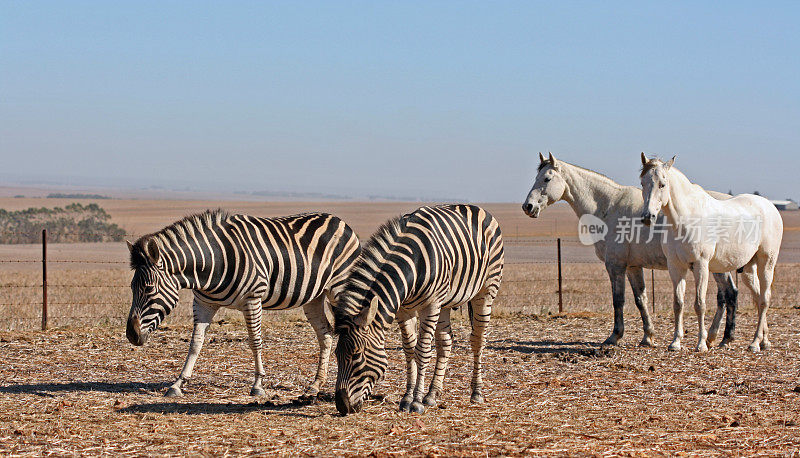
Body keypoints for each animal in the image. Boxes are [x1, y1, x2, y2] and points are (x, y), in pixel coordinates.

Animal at [125, 210, 360, 398]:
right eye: (131, 288)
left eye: (149, 289)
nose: (131, 335)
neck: (213, 262)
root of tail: (339, 220)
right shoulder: (203, 302)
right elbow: (195, 344)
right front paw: (177, 384)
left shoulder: (252, 299)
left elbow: (255, 341)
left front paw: (258, 385)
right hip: (314, 297)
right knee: (326, 334)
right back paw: (315, 385)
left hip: (339, 288)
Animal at [334, 204, 504, 416]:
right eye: (336, 354)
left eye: (357, 355)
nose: (341, 406)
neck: (411, 265)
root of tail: (475, 207)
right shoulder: (404, 310)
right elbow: (409, 350)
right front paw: (408, 398)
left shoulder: (430, 306)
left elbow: (422, 350)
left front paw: (416, 402)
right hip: (445, 303)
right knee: (445, 342)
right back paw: (432, 394)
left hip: (485, 291)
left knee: (478, 340)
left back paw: (476, 393)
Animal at [524, 154, 736, 348]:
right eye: (536, 177)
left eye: (547, 179)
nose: (528, 206)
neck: (609, 207)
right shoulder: (633, 267)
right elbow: (641, 300)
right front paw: (648, 337)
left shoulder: (615, 266)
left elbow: (618, 300)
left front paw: (614, 336)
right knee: (728, 295)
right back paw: (719, 338)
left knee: (728, 295)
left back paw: (719, 338)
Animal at [640, 154, 784, 350]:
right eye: (642, 183)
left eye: (662, 184)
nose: (648, 217)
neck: (685, 220)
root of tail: (770, 206)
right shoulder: (676, 267)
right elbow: (678, 303)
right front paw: (675, 342)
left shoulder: (701, 265)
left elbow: (699, 304)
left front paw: (701, 344)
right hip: (748, 269)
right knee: (758, 297)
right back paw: (764, 340)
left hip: (766, 263)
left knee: (764, 299)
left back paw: (754, 343)